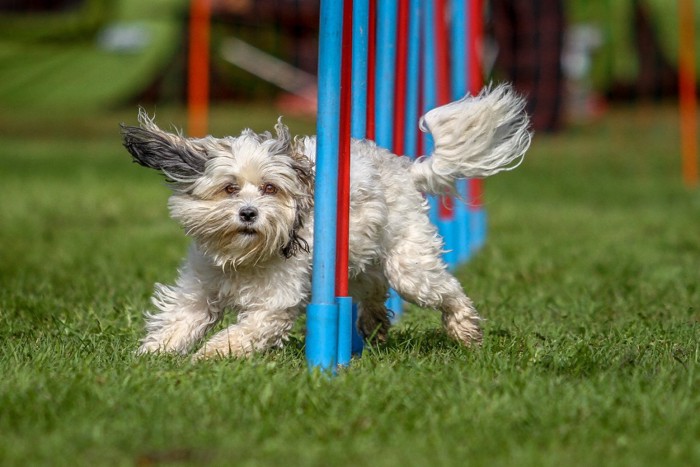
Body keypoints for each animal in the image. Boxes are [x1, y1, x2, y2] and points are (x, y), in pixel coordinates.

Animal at [120, 85, 532, 362]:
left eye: (270, 188)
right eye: (230, 188)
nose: (249, 213)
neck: (246, 257)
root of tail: (406, 169)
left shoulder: (274, 305)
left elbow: (245, 331)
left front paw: (208, 355)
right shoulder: (199, 291)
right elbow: (179, 321)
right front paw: (152, 356)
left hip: (409, 266)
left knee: (445, 290)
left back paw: (466, 330)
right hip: (358, 261)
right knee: (374, 290)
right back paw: (374, 325)